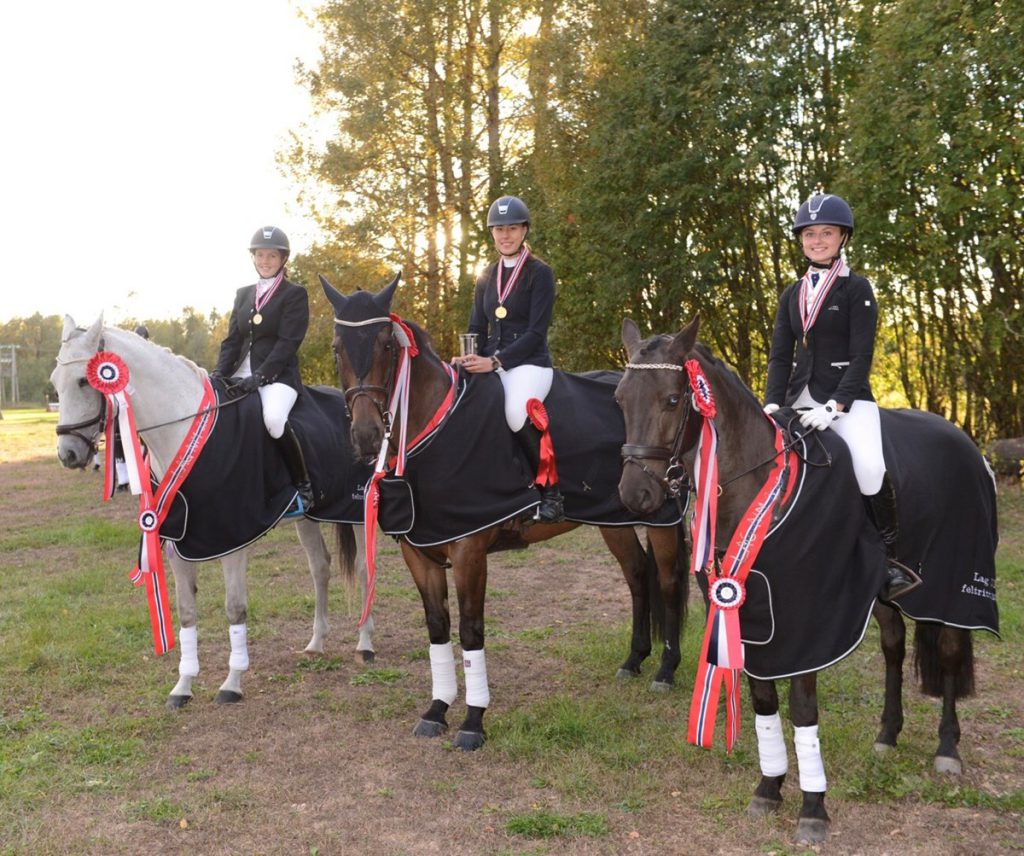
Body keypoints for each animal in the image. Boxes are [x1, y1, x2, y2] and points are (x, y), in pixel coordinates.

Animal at [51, 315, 375, 708]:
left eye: (84, 380)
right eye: (55, 382)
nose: (68, 454)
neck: (185, 430)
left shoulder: (233, 537)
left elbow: (235, 608)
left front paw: (232, 683)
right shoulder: (176, 541)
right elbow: (187, 612)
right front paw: (183, 686)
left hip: (357, 510)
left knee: (363, 568)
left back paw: (365, 644)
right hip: (309, 518)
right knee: (320, 567)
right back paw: (316, 643)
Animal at [319, 274, 689, 751]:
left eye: (386, 344)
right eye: (336, 348)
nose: (365, 436)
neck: (435, 428)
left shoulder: (469, 552)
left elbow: (471, 630)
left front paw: (473, 721)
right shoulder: (418, 551)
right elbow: (437, 628)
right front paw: (436, 710)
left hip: (660, 515)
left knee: (667, 580)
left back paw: (665, 670)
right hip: (615, 519)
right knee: (638, 574)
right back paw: (633, 660)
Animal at [615, 315, 999, 846]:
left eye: (673, 399)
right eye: (619, 399)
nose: (636, 494)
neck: (761, 486)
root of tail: (962, 438)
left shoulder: (806, 623)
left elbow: (802, 709)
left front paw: (813, 808)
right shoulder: (749, 616)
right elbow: (763, 701)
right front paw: (769, 788)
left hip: (954, 585)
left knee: (947, 649)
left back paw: (947, 749)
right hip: (883, 597)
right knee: (894, 646)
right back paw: (887, 735)